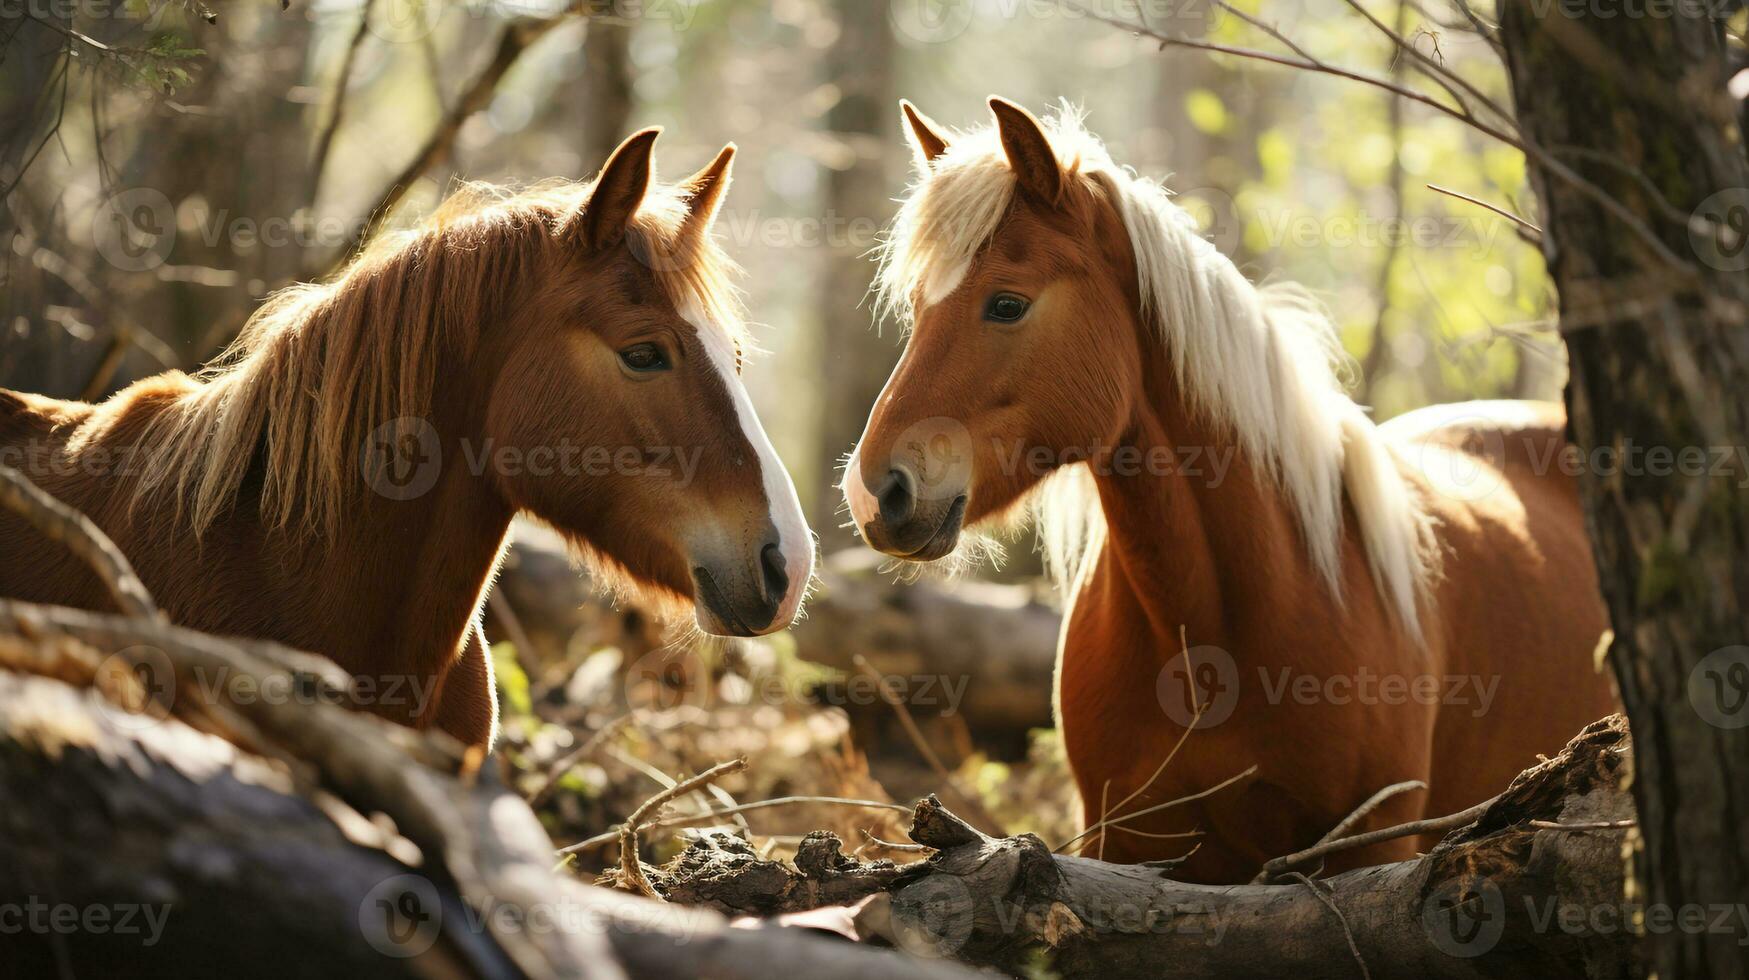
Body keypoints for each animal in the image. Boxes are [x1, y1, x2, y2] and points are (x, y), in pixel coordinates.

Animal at [839, 97, 1616, 882]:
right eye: (917, 306)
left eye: (1006, 304)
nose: (876, 492)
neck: (1215, 629)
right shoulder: (1122, 842)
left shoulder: (1374, 843)